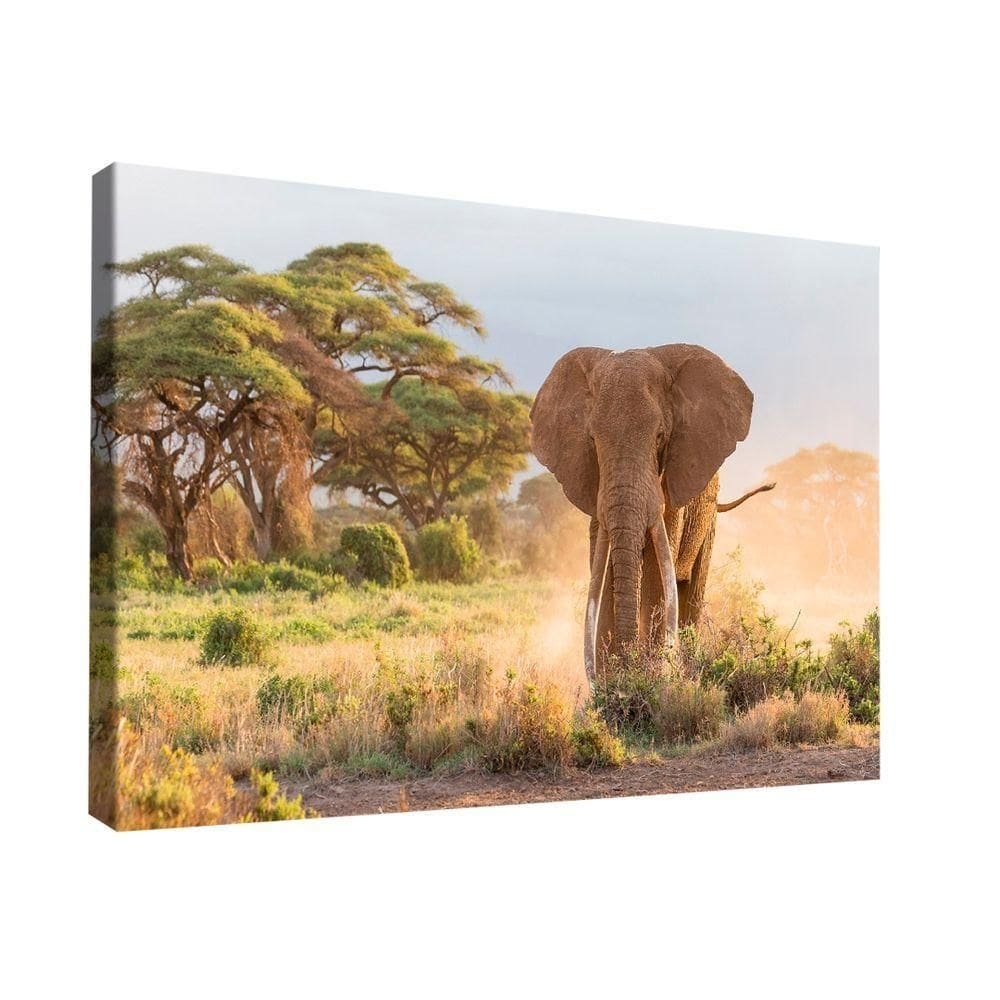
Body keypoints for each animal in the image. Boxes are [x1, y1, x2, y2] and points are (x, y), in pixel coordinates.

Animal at [530, 344, 770, 685]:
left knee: (692, 593)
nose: (624, 668)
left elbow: (657, 573)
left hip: (708, 515)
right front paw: (611, 684)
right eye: (592, 439)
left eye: (660, 436)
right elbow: (605, 570)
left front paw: (649, 679)